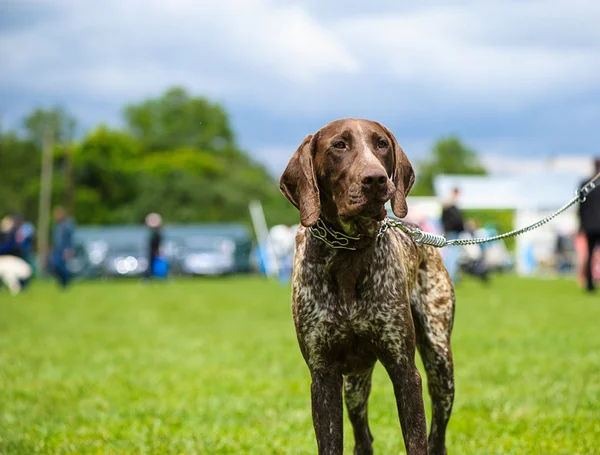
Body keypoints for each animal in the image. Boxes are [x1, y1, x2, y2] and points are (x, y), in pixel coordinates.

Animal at [280, 119, 454, 454]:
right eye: (339, 145)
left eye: (381, 144)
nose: (375, 179)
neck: (348, 250)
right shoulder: (323, 375)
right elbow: (332, 442)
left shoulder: (404, 369)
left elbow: (417, 440)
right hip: (354, 384)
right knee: (362, 435)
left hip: (440, 362)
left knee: (437, 434)